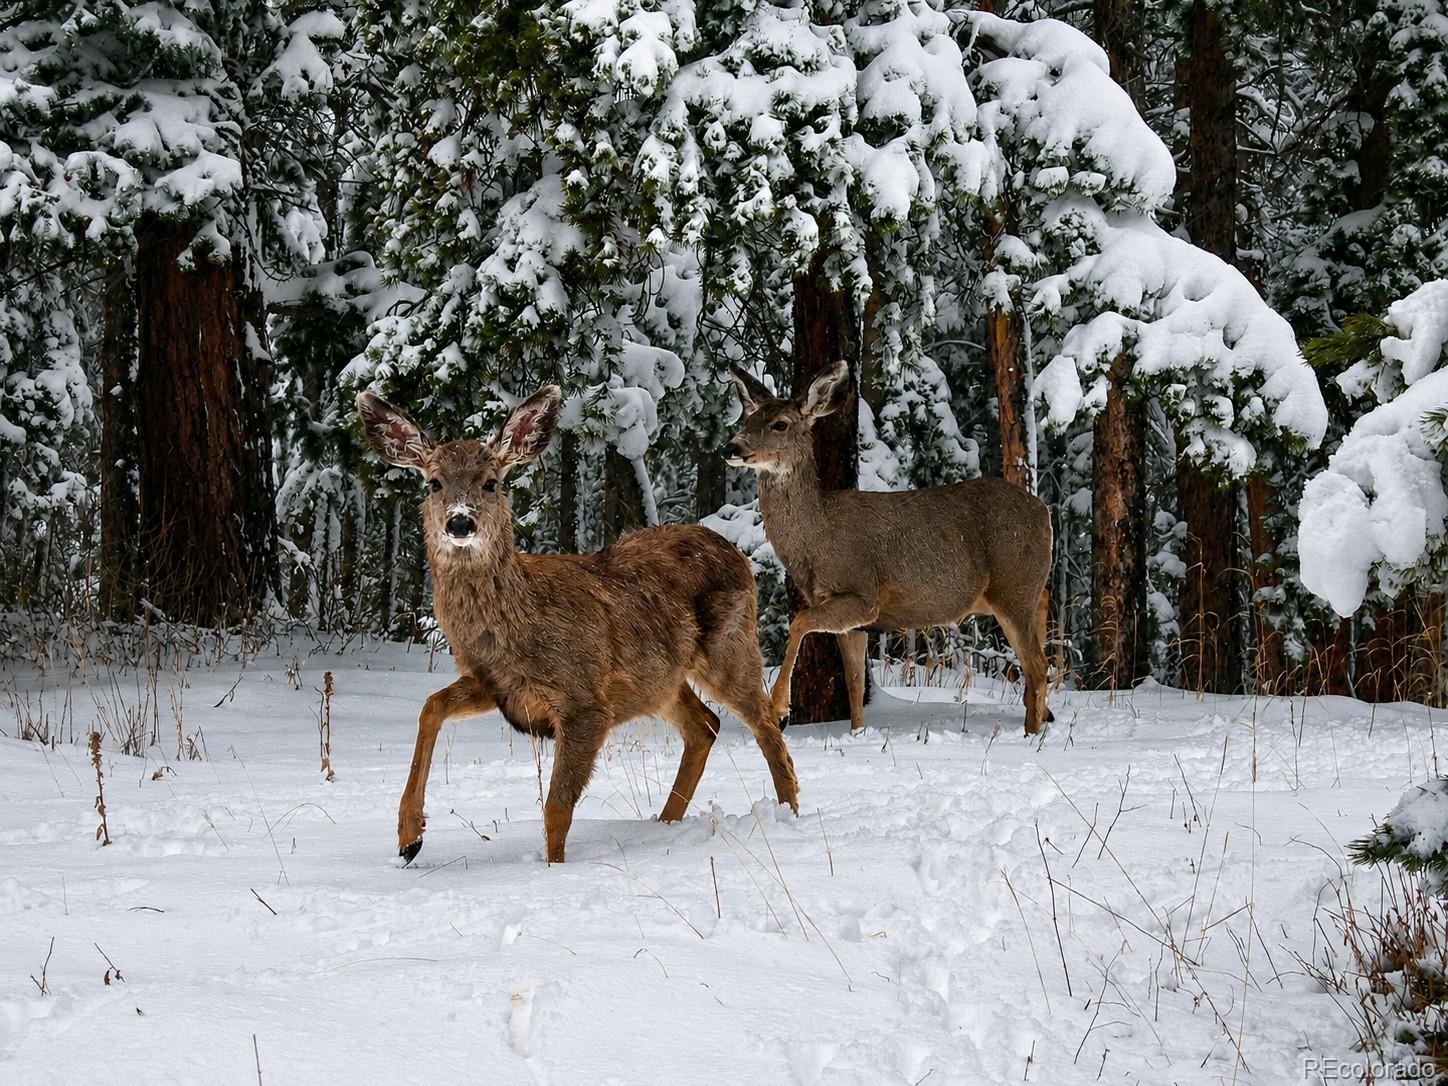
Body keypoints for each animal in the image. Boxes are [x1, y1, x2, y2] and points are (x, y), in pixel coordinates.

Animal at [357, 385, 800, 865]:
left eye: (491, 482)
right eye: (434, 482)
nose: (460, 521)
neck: (519, 625)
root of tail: (734, 550)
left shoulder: (584, 700)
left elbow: (556, 808)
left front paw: (555, 869)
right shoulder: (496, 684)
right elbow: (430, 707)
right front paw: (409, 837)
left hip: (730, 646)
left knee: (765, 722)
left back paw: (789, 814)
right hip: (658, 681)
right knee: (705, 726)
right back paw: (666, 823)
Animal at [723, 359, 1055, 735]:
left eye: (780, 424)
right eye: (747, 420)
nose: (731, 448)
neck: (817, 538)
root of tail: (1044, 511)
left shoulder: (861, 593)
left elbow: (799, 623)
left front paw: (779, 707)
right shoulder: (848, 617)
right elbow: (854, 681)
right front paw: (857, 732)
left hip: (1012, 586)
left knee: (1037, 665)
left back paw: (1031, 732)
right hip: (1016, 587)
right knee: (1043, 614)